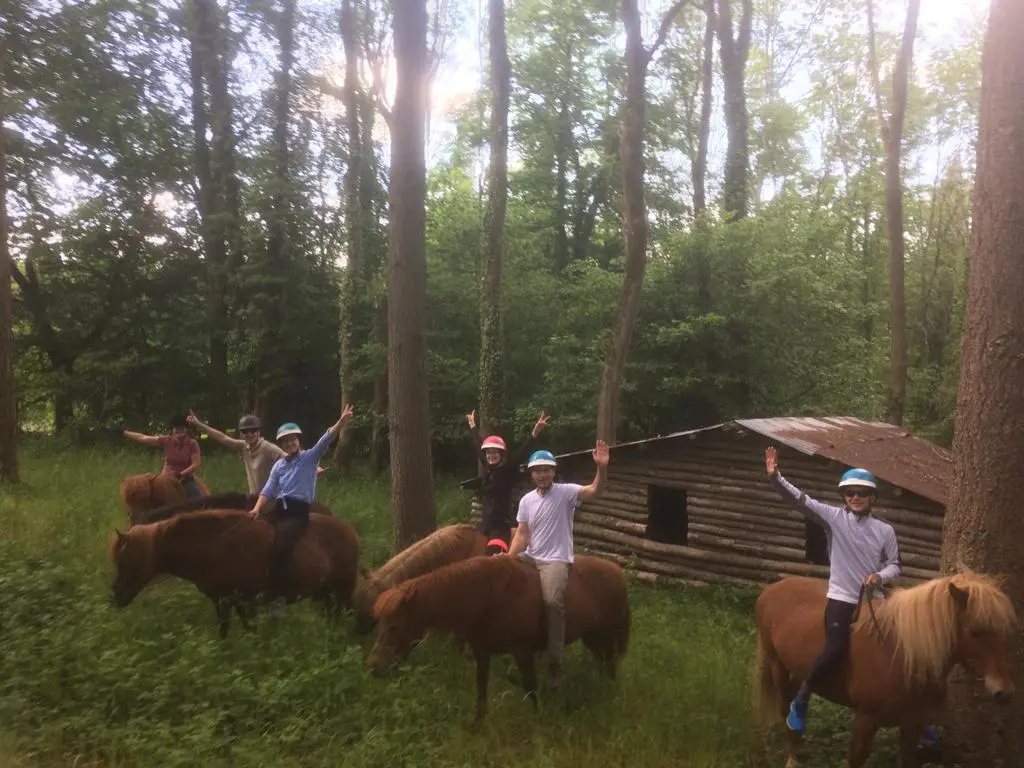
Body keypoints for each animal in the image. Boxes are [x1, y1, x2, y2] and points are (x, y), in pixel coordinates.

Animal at [109, 512, 360, 638]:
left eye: (124, 561)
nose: (115, 596)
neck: (214, 546)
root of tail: (350, 530)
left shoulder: (238, 600)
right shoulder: (228, 601)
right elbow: (236, 629)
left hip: (343, 589)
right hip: (324, 592)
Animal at [364, 557, 626, 724]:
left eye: (395, 626)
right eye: (380, 623)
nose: (374, 666)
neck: (489, 596)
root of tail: (617, 571)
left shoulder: (522, 651)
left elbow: (530, 685)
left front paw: (539, 716)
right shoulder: (482, 652)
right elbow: (482, 688)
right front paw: (477, 723)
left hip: (605, 636)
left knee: (610, 664)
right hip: (592, 637)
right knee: (603, 664)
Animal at [753, 573, 1015, 765]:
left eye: (1004, 630)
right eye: (975, 632)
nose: (1003, 692)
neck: (903, 657)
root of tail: (771, 589)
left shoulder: (913, 725)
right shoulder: (866, 720)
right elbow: (855, 760)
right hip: (777, 667)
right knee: (785, 709)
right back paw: (793, 757)